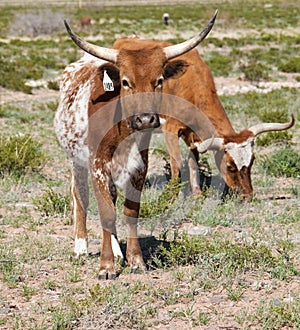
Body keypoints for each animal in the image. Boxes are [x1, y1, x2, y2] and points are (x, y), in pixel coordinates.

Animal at [54, 11, 218, 278]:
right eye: (125, 81)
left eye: (159, 80)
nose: (145, 119)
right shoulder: (97, 163)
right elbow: (106, 212)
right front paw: (106, 266)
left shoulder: (140, 164)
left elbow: (130, 211)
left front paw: (134, 259)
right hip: (75, 158)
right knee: (80, 196)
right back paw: (80, 246)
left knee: (110, 197)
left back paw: (117, 251)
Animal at [161, 47, 294, 200]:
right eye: (230, 165)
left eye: (252, 160)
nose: (247, 196)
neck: (191, 86)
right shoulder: (170, 129)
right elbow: (176, 162)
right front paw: (171, 195)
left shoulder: (192, 134)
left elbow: (193, 161)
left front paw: (197, 194)